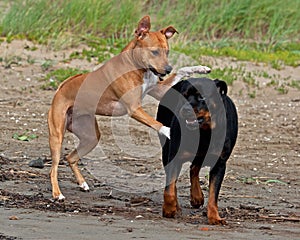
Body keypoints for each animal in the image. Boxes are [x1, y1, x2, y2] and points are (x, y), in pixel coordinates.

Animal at [48, 15, 210, 201]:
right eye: (154, 52)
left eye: (167, 52)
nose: (168, 69)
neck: (136, 66)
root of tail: (60, 88)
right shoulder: (134, 108)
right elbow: (156, 123)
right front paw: (169, 131)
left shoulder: (159, 90)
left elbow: (183, 71)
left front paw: (200, 68)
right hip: (57, 136)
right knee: (54, 167)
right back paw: (57, 193)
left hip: (91, 137)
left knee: (71, 158)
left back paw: (82, 184)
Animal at [156, 77, 238, 225]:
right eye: (183, 96)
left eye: (202, 97)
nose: (185, 109)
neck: (204, 132)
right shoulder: (174, 157)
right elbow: (169, 189)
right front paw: (169, 209)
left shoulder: (219, 164)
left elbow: (213, 194)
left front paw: (214, 217)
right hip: (166, 148)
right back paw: (179, 205)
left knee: (194, 168)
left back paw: (197, 197)